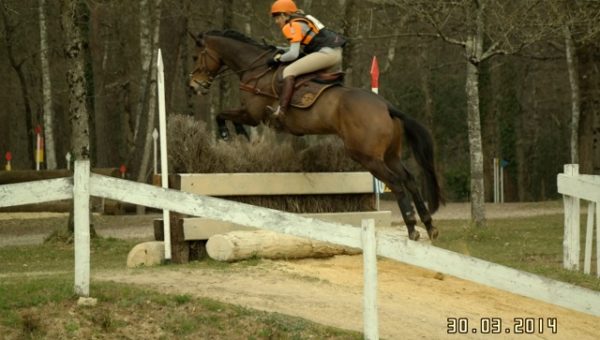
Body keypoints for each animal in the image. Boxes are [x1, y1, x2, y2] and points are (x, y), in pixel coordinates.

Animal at [190, 29, 442, 242]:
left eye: (196, 57)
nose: (194, 86)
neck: (256, 69)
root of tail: (386, 106)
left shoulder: (253, 114)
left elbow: (222, 115)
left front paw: (226, 134)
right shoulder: (251, 115)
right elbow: (229, 117)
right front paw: (239, 135)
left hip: (367, 157)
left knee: (397, 183)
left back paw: (412, 228)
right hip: (390, 155)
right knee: (410, 180)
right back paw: (429, 226)